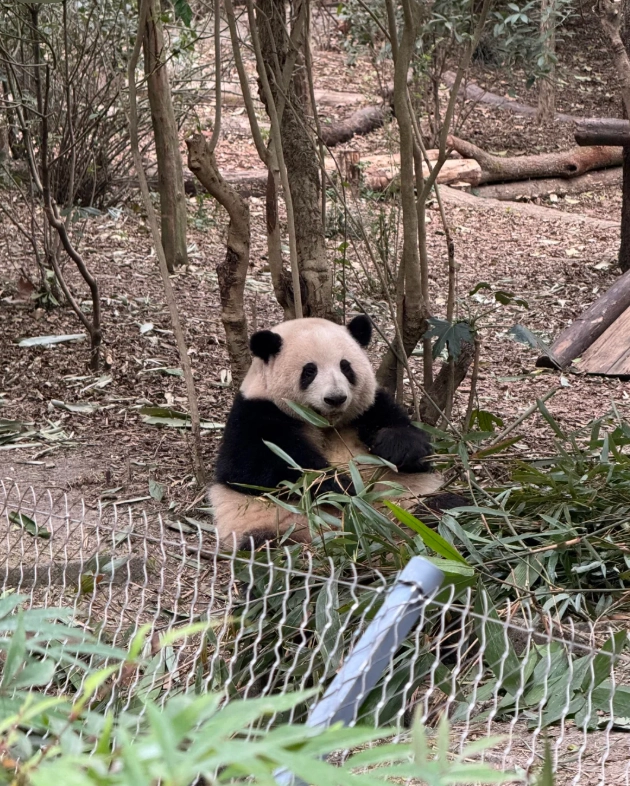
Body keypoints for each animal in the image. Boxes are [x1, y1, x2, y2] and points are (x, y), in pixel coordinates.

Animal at [209, 315, 462, 549]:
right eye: (309, 371)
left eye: (346, 367)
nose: (335, 398)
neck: (325, 423)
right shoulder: (254, 412)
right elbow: (256, 468)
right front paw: (341, 485)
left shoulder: (369, 407)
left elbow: (405, 435)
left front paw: (400, 449)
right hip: (272, 524)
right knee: (270, 548)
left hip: (413, 501)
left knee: (449, 510)